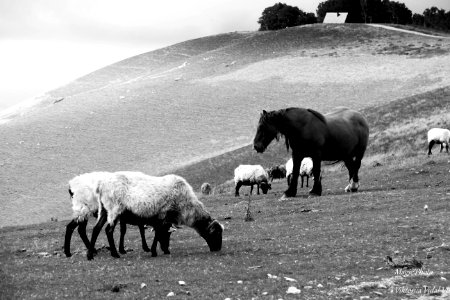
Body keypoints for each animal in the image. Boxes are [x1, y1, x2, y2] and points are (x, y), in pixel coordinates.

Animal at [90, 172, 225, 258]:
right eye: (216, 233)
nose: (218, 249)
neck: (186, 207)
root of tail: (101, 185)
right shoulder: (162, 216)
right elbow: (158, 234)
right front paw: (155, 252)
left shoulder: (163, 220)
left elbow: (161, 234)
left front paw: (163, 249)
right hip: (114, 209)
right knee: (108, 230)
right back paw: (115, 254)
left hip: (104, 210)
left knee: (96, 229)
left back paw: (90, 255)